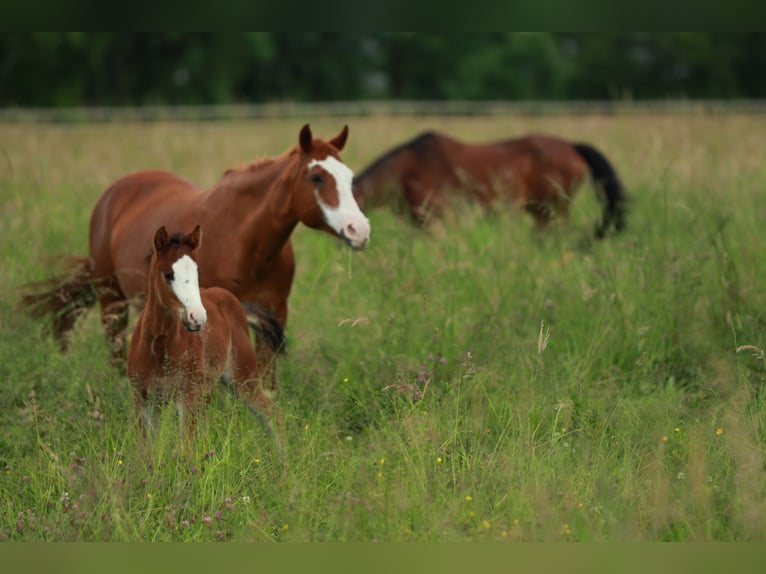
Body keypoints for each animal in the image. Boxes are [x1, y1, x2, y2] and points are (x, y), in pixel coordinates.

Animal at [20, 124, 370, 381]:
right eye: (316, 176)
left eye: (349, 177)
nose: (359, 229)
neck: (246, 241)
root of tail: (113, 194)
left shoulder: (274, 313)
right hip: (111, 299)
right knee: (115, 351)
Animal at [127, 224, 284, 444]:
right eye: (168, 274)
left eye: (197, 272)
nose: (198, 318)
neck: (159, 347)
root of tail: (236, 303)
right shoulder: (143, 398)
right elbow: (145, 448)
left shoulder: (187, 397)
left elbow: (185, 447)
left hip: (243, 378)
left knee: (272, 413)